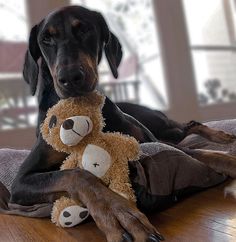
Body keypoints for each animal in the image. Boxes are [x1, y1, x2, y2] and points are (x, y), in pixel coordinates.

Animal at [11, 5, 236, 242]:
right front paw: (118, 215)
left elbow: (204, 154)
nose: (70, 78)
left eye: (84, 30)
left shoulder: (150, 141)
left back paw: (223, 135)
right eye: (46, 39)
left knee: (189, 126)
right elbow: (76, 175)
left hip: (164, 129)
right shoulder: (21, 181)